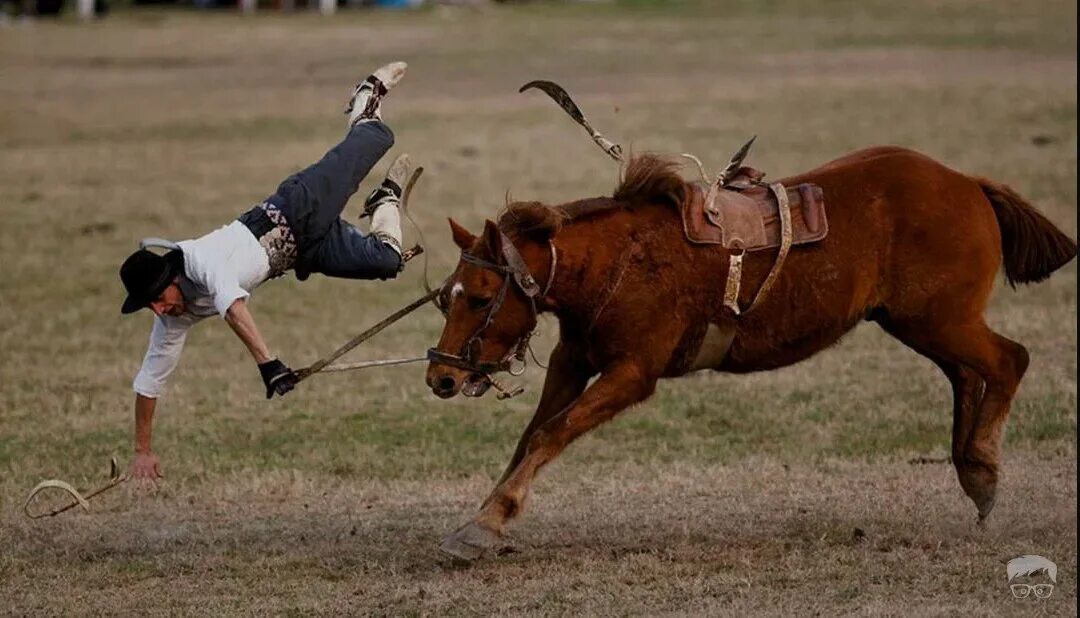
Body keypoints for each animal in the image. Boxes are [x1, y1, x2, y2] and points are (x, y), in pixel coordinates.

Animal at [425, 146, 1075, 561]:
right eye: (442, 295)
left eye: (479, 296)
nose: (440, 379)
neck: (617, 258)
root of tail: (967, 182)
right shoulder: (573, 361)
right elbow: (532, 435)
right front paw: (485, 517)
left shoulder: (632, 373)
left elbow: (551, 433)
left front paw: (485, 523)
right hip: (920, 323)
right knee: (967, 375)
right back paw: (974, 473)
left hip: (940, 319)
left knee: (1009, 360)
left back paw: (983, 468)